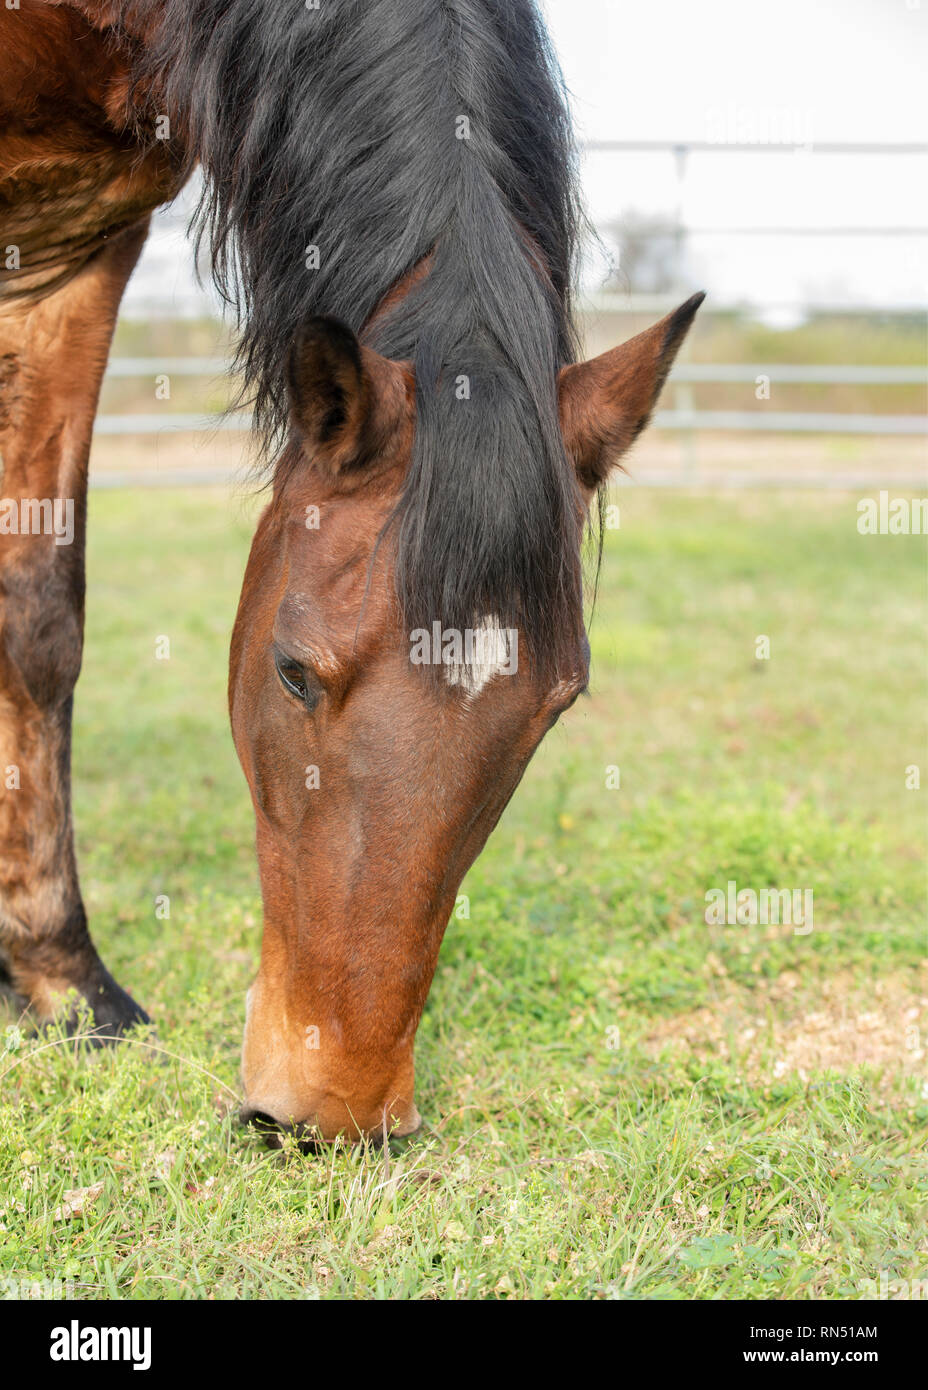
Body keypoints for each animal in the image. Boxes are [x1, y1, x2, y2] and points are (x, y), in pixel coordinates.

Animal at [0, 2, 700, 1139]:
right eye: (293, 673)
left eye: (558, 703)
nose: (331, 1110)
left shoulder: (79, 246)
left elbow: (37, 614)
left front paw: (60, 984)